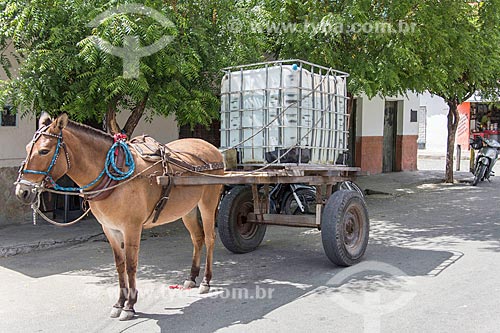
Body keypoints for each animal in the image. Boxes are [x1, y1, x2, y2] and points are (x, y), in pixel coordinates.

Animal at [14, 113, 224, 320]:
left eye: (44, 151)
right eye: (27, 148)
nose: (22, 192)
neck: (117, 175)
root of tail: (210, 147)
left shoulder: (131, 228)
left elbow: (131, 265)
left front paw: (130, 306)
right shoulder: (110, 229)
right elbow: (119, 265)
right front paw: (119, 303)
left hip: (208, 203)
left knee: (210, 238)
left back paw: (206, 281)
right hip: (188, 209)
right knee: (197, 238)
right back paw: (192, 277)